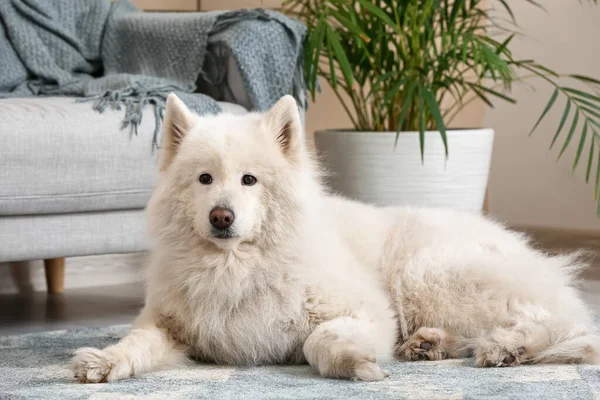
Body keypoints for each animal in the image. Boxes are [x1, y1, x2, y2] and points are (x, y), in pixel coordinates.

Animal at [71, 94, 600, 384]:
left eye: (249, 180)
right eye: (204, 179)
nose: (221, 217)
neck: (236, 268)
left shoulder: (368, 311)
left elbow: (318, 340)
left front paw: (355, 362)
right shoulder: (170, 325)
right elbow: (136, 342)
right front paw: (103, 362)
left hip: (429, 274)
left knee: (557, 324)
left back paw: (508, 347)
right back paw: (428, 345)